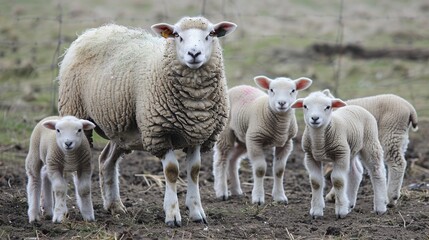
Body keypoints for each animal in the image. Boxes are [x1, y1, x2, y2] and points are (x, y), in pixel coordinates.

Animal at [56, 16, 236, 227]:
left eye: (210, 34)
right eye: (177, 35)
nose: (194, 53)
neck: (195, 102)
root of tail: (92, 32)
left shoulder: (198, 134)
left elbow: (194, 171)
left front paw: (197, 212)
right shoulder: (159, 132)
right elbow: (172, 171)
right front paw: (172, 215)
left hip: (122, 129)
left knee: (106, 160)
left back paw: (114, 205)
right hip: (76, 114)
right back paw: (82, 210)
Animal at [213, 75, 310, 204]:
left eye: (293, 90)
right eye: (271, 90)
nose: (282, 103)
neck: (280, 126)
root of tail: (238, 87)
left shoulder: (286, 143)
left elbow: (279, 170)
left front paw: (280, 197)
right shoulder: (255, 140)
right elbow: (260, 170)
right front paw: (258, 198)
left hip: (244, 139)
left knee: (233, 159)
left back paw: (236, 190)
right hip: (226, 132)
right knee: (221, 160)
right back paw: (222, 192)